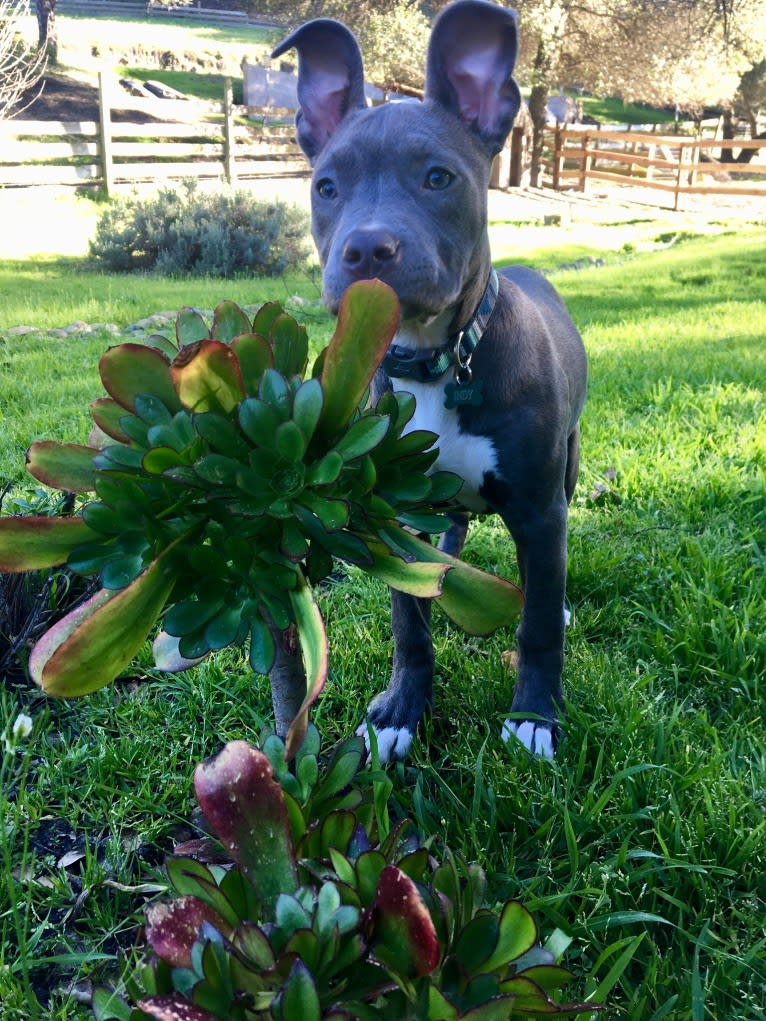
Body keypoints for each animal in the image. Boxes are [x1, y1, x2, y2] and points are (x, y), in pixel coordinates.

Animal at [273, 0, 592, 763]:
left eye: (438, 178)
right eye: (326, 187)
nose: (368, 249)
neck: (436, 362)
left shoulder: (540, 507)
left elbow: (539, 623)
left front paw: (536, 715)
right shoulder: (389, 513)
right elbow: (407, 624)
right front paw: (400, 712)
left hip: (566, 469)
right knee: (449, 530)